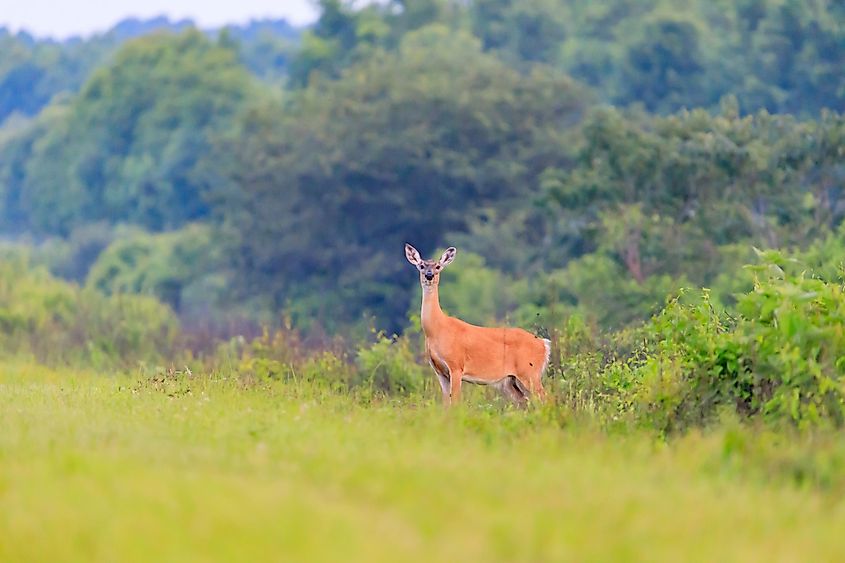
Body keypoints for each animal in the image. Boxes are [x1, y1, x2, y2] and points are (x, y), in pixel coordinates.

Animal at [406, 242, 552, 406]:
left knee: (548, 398)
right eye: (421, 265)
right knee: (525, 402)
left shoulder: (456, 365)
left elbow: (456, 401)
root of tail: (544, 344)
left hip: (530, 372)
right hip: (511, 380)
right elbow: (445, 404)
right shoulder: (439, 371)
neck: (437, 330)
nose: (429, 275)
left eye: (437, 266)